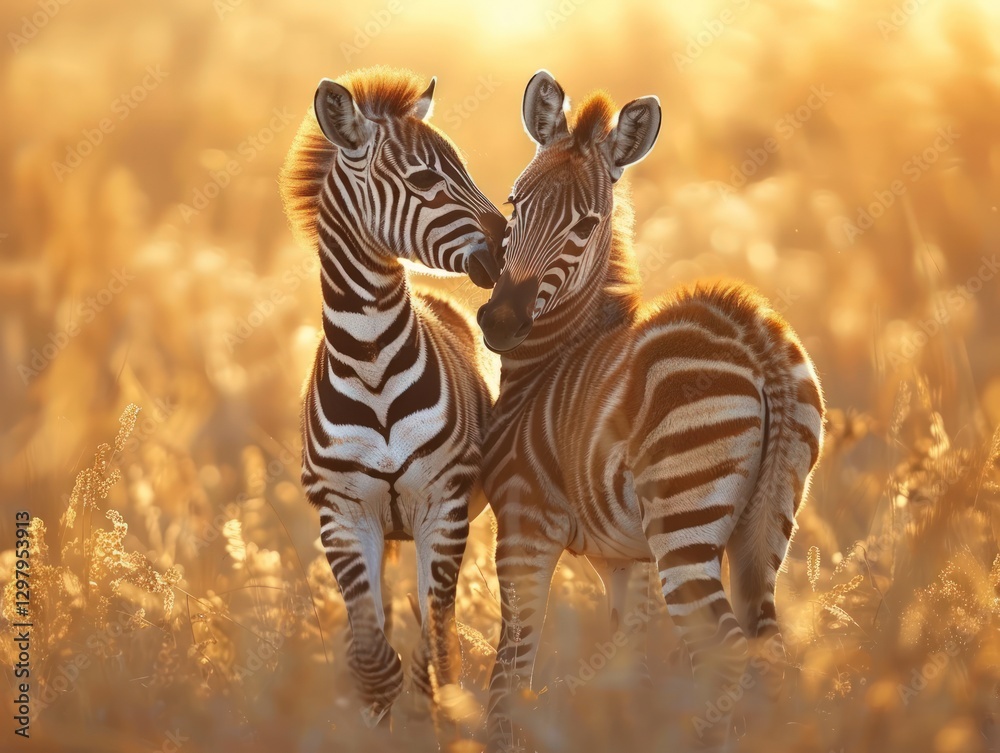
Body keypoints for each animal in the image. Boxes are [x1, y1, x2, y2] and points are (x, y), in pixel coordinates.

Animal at [279, 67, 506, 731]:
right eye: (426, 180)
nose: (509, 244)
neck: (373, 362)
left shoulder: (444, 505)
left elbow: (437, 657)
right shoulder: (341, 514)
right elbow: (373, 662)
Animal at [475, 71, 825, 751]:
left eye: (585, 225)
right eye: (514, 202)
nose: (500, 321)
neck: (555, 357)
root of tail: (754, 338)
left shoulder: (524, 527)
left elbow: (510, 674)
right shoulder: (624, 560)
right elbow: (626, 669)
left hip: (684, 526)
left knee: (729, 658)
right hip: (764, 528)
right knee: (772, 660)